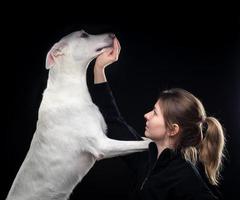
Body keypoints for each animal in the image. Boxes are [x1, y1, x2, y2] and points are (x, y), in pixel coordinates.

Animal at [6, 30, 150, 200]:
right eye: (84, 35)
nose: (112, 34)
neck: (69, 88)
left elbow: (141, 139)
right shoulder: (102, 144)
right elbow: (143, 144)